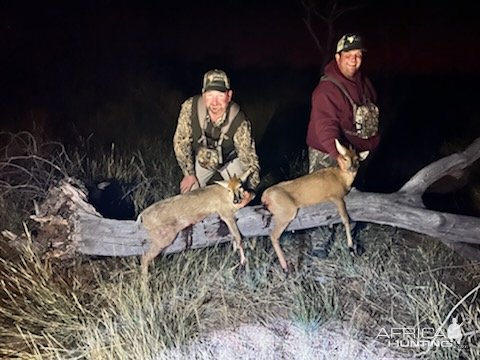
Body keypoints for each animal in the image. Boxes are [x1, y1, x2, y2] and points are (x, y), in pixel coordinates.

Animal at [262, 139, 368, 272]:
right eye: (344, 158)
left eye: (357, 159)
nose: (352, 167)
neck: (341, 179)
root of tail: (264, 196)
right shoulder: (335, 196)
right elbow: (345, 218)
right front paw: (350, 247)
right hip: (287, 211)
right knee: (274, 235)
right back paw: (285, 267)